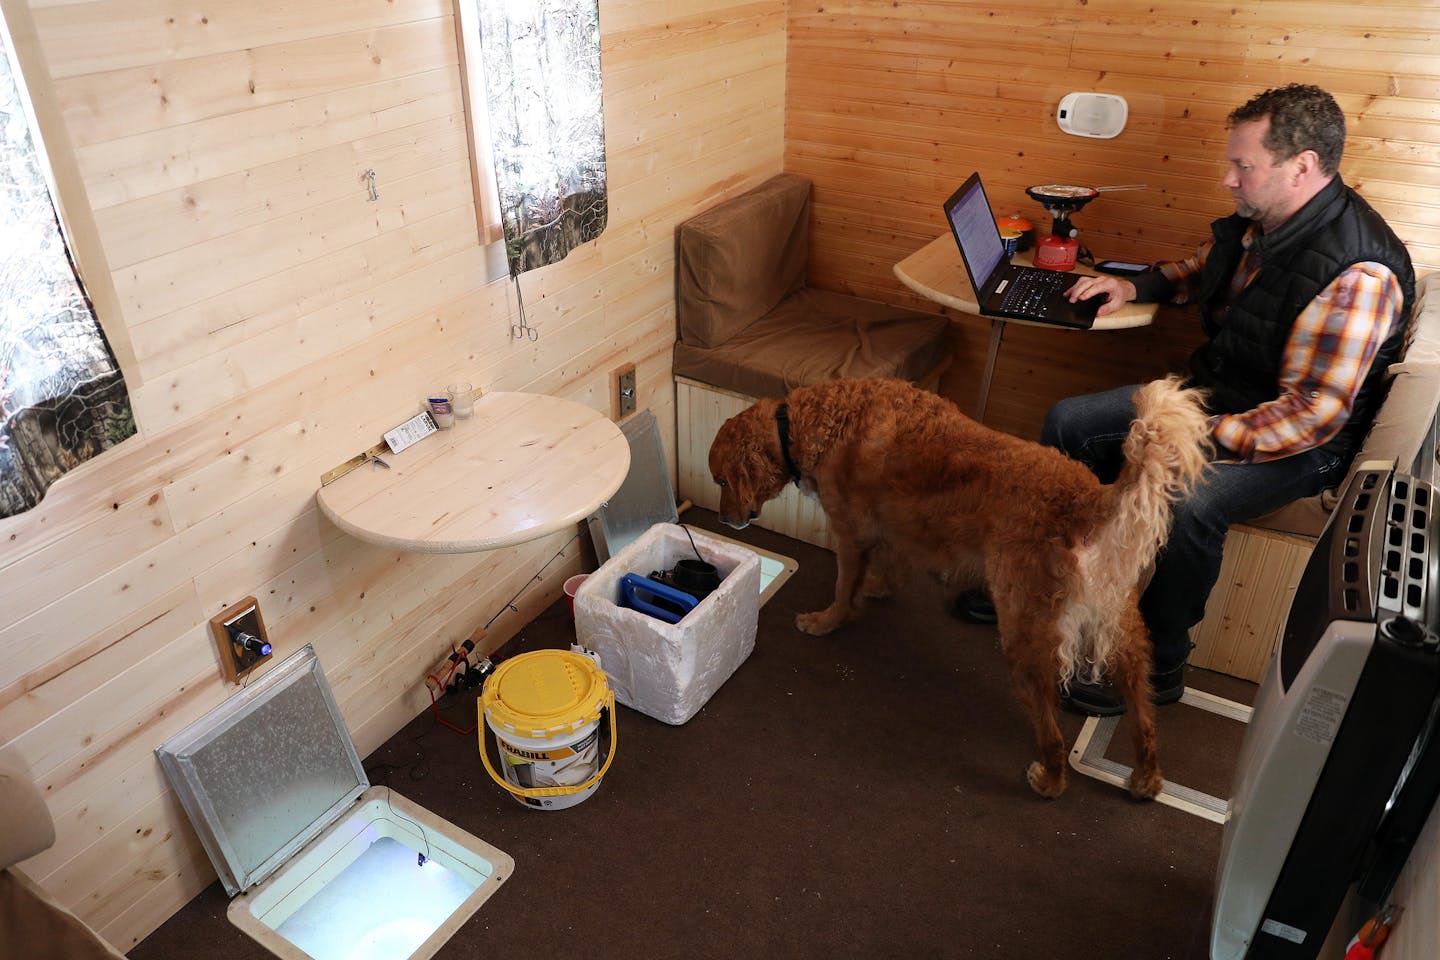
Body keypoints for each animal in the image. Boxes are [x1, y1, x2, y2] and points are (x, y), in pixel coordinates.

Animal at [702, 379, 1209, 800]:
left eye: (722, 480)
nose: (727, 518)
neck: (817, 419)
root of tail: (1090, 499)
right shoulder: (897, 528)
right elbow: (891, 566)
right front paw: (879, 588)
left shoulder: (850, 534)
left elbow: (845, 587)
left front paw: (826, 621)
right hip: (1124, 632)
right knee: (1142, 714)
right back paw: (1145, 778)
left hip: (1024, 632)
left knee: (1051, 729)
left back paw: (1049, 780)